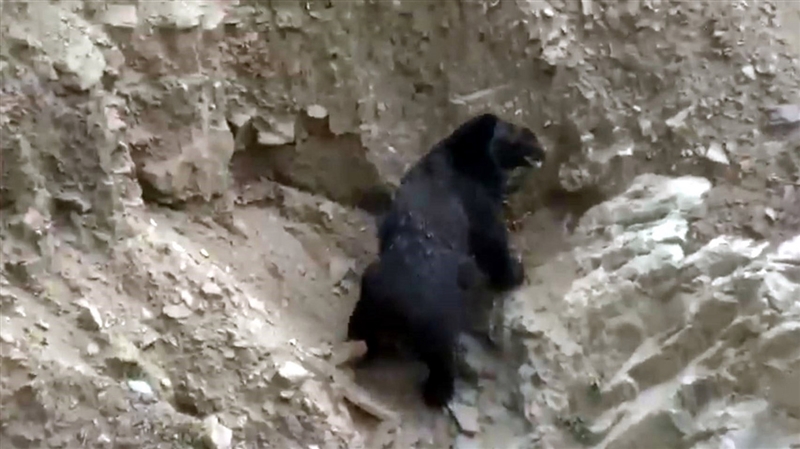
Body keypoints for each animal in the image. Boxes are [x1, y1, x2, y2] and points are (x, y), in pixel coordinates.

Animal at [347, 112, 546, 408]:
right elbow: (494, 247)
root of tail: (397, 307)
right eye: (511, 129)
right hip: (441, 328)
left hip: (366, 305)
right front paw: (516, 273)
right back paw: (438, 394)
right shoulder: (482, 210)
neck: (466, 156)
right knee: (442, 362)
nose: (537, 141)